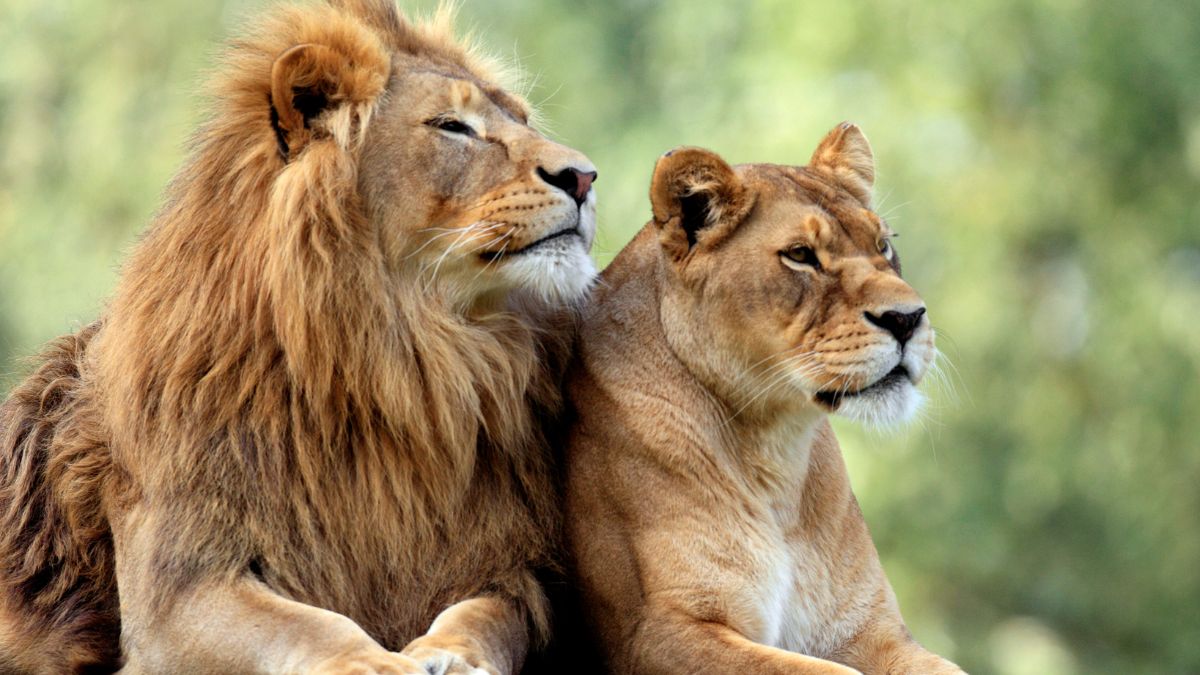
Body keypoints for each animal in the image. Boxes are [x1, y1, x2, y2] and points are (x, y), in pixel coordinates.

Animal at [0, 1, 598, 673]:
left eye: (521, 119)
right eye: (452, 126)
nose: (584, 177)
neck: (402, 362)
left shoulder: (514, 566)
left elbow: (488, 616)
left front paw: (454, 654)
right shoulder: (176, 590)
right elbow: (307, 626)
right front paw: (380, 663)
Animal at [562, 124, 965, 674]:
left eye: (883, 245)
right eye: (800, 255)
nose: (907, 318)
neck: (776, 454)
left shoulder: (872, 630)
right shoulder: (657, 633)